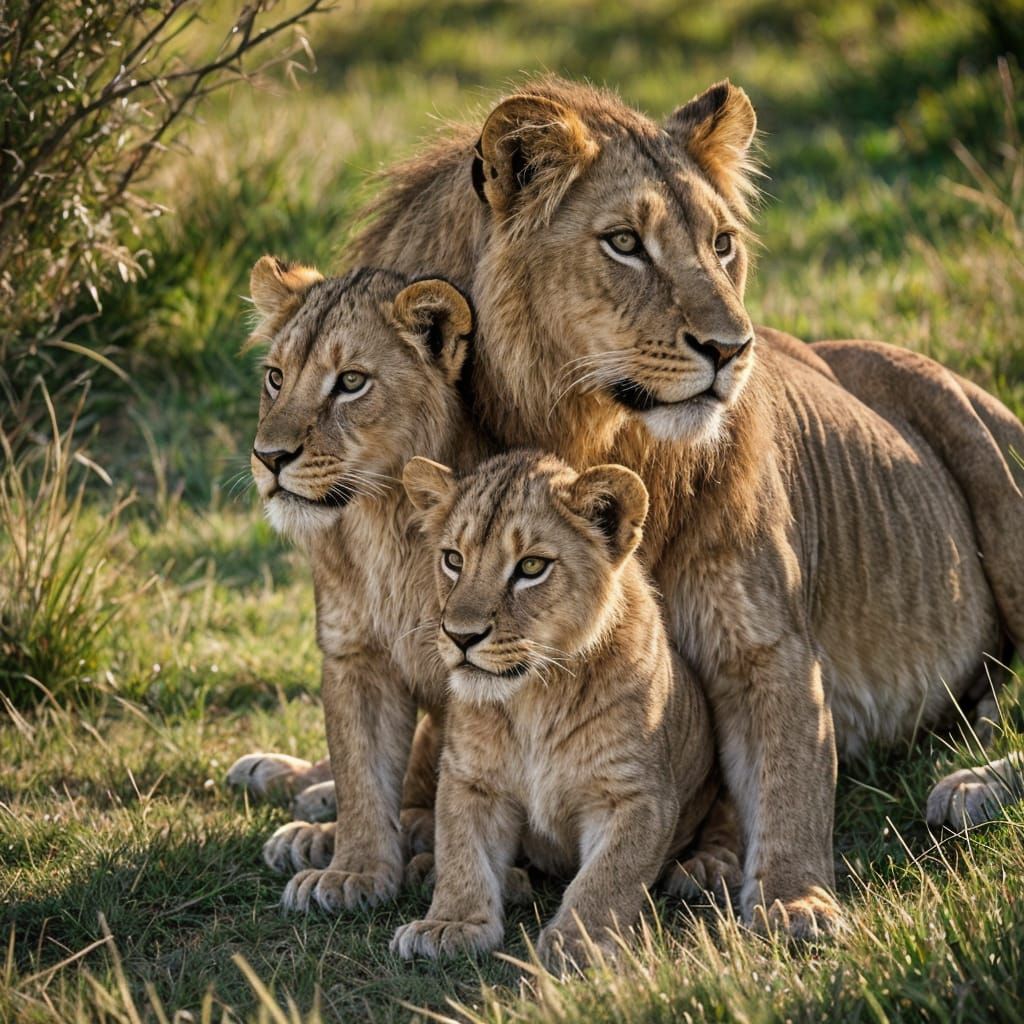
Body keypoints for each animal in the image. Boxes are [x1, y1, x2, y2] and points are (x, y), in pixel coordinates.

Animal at [392, 450, 721, 968]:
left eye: (531, 566)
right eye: (453, 559)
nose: (461, 637)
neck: (534, 698)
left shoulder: (636, 795)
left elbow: (608, 876)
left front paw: (579, 940)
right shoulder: (471, 780)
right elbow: (461, 853)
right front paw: (451, 924)